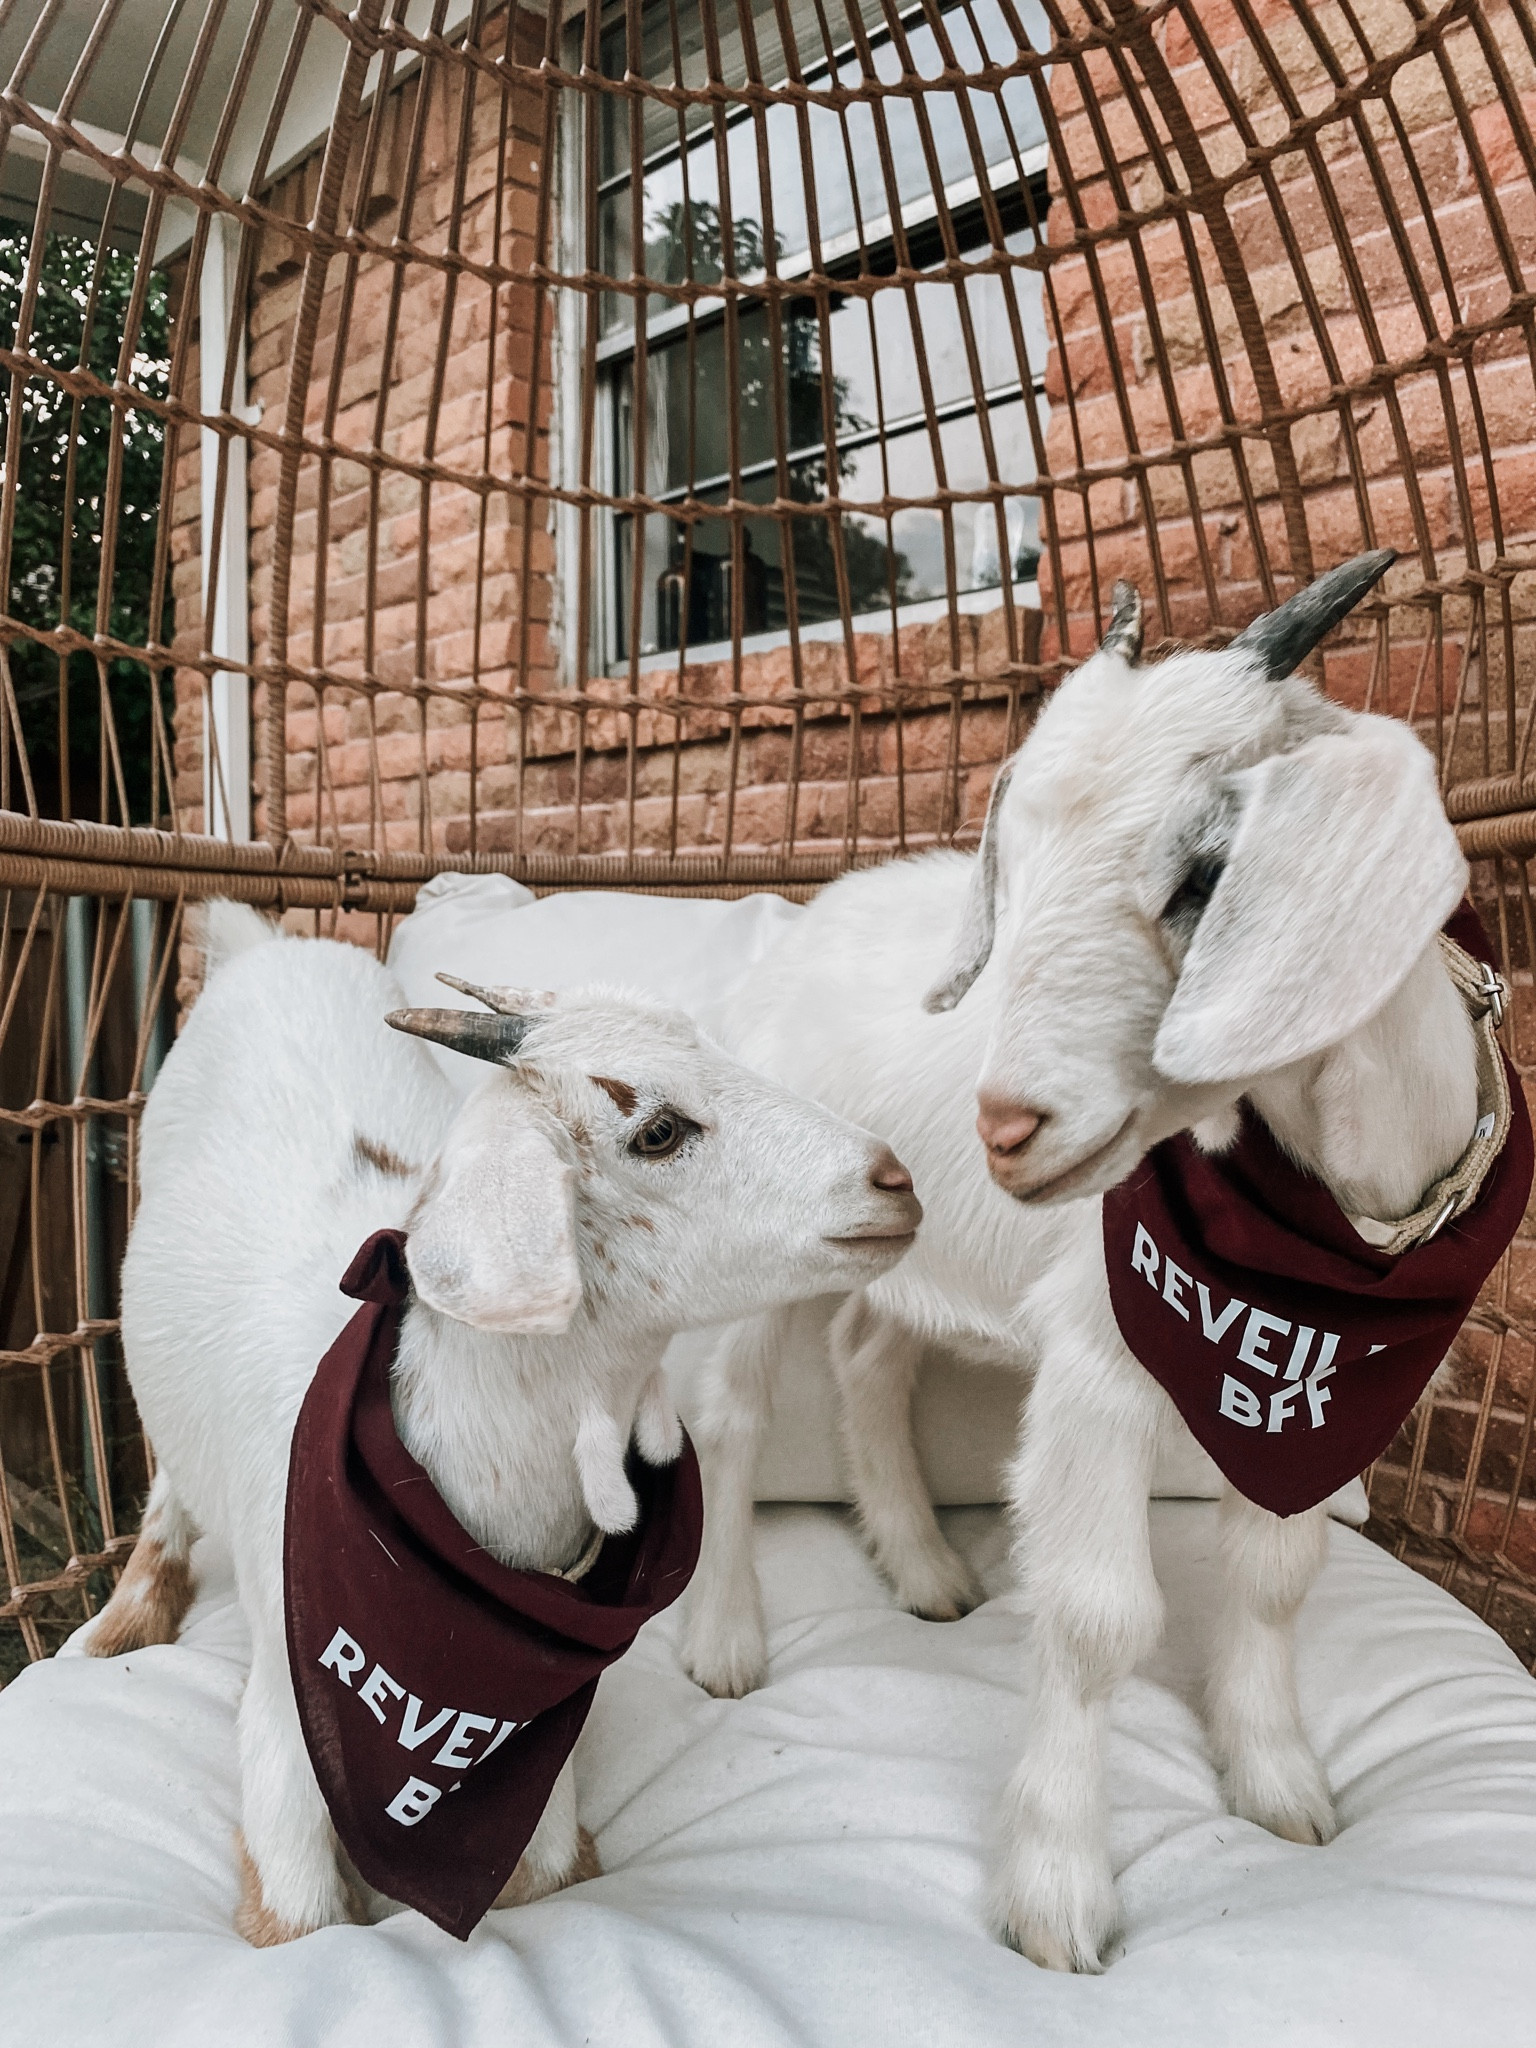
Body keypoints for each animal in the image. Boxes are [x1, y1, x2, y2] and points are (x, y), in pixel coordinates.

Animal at [89, 903, 920, 1944]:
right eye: (657, 1130)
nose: (895, 1179)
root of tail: (266, 944)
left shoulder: (541, 1766)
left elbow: (551, 1869)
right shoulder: (284, 1718)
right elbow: (300, 1922)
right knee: (166, 1470)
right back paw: (125, 1620)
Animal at [684, 552, 1484, 1969]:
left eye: (1208, 869)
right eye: (1017, 865)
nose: (1007, 1126)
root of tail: (792, 929)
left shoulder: (1322, 1396)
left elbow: (1276, 1577)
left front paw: (1280, 1780)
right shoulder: (1101, 1363)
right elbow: (1101, 1615)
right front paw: (1056, 1888)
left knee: (871, 1352)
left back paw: (924, 1569)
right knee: (730, 1411)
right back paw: (726, 1637)